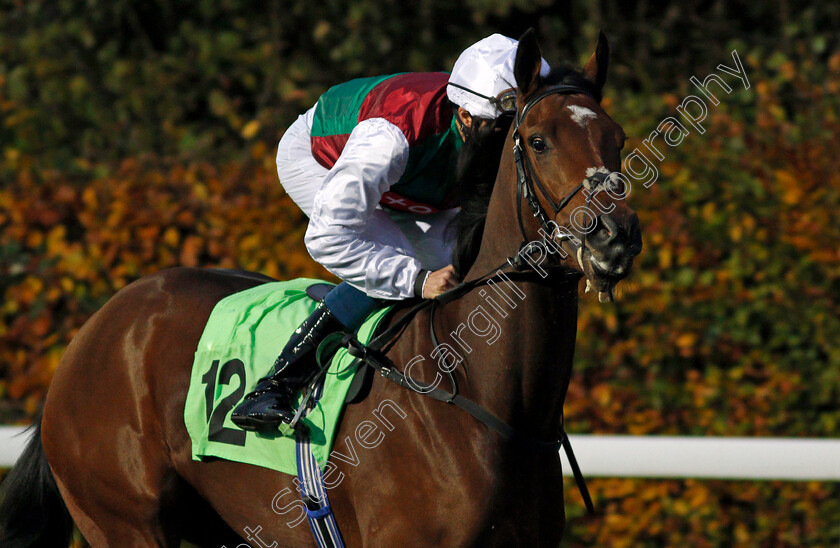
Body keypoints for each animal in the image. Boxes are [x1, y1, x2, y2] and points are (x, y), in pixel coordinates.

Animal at [1, 31, 644, 548]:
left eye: (616, 136)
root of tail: (94, 330)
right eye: (537, 140)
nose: (613, 236)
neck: (483, 395)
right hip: (124, 519)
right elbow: (338, 235)